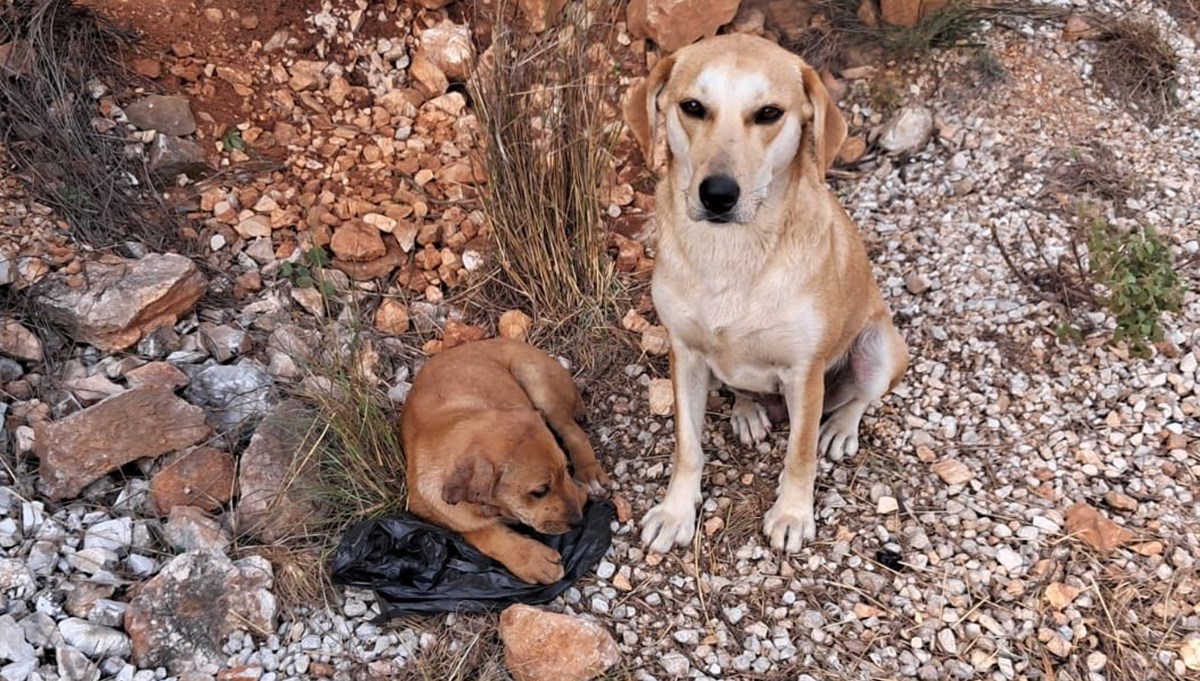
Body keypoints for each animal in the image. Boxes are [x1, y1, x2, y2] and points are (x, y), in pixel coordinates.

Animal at [400, 338, 609, 582]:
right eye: (540, 491)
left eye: (566, 469)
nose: (579, 521)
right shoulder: (428, 510)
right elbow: (481, 532)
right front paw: (534, 561)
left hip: (535, 378)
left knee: (574, 432)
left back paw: (589, 474)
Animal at [628, 33, 907, 553]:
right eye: (692, 107)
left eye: (769, 113)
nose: (718, 195)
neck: (731, 254)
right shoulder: (685, 355)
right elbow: (687, 446)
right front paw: (676, 511)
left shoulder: (804, 372)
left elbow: (799, 454)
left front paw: (793, 513)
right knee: (740, 389)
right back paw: (748, 412)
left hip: (882, 349)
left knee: (859, 399)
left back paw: (839, 429)